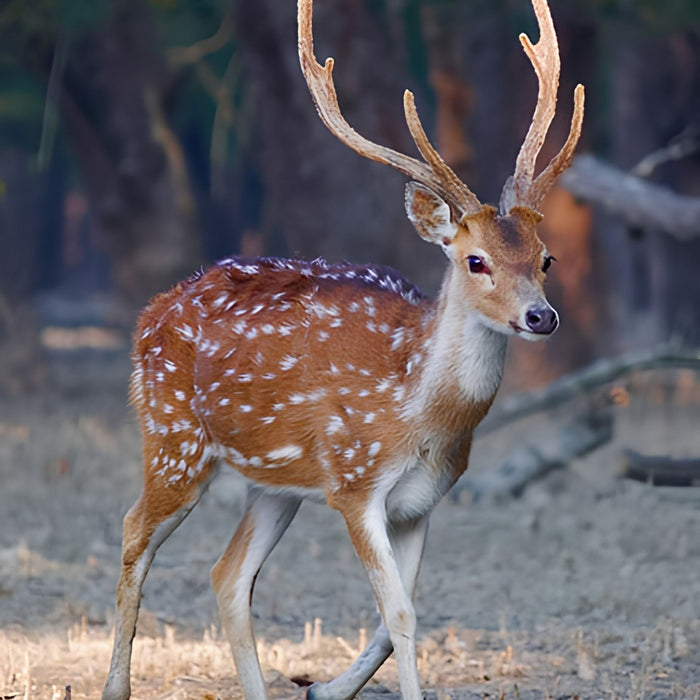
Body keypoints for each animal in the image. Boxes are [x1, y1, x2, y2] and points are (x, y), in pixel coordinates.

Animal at [102, 0, 584, 698]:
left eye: (545, 258)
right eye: (476, 260)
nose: (541, 316)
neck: (421, 416)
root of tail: (150, 313)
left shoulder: (422, 500)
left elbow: (396, 614)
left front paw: (323, 687)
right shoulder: (355, 485)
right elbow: (401, 612)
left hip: (274, 483)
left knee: (228, 574)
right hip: (174, 440)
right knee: (134, 531)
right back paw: (116, 685)